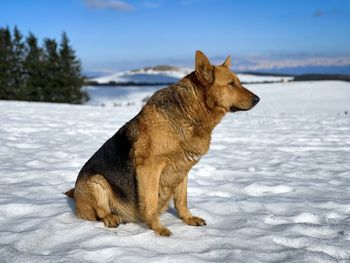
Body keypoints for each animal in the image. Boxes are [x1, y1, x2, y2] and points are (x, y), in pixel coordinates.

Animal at [64, 51, 258, 237]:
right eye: (231, 84)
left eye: (239, 82)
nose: (258, 99)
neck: (189, 114)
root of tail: (75, 194)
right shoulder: (149, 169)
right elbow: (150, 203)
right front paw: (157, 228)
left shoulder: (182, 170)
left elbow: (182, 201)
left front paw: (188, 219)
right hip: (97, 182)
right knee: (100, 213)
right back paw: (111, 218)